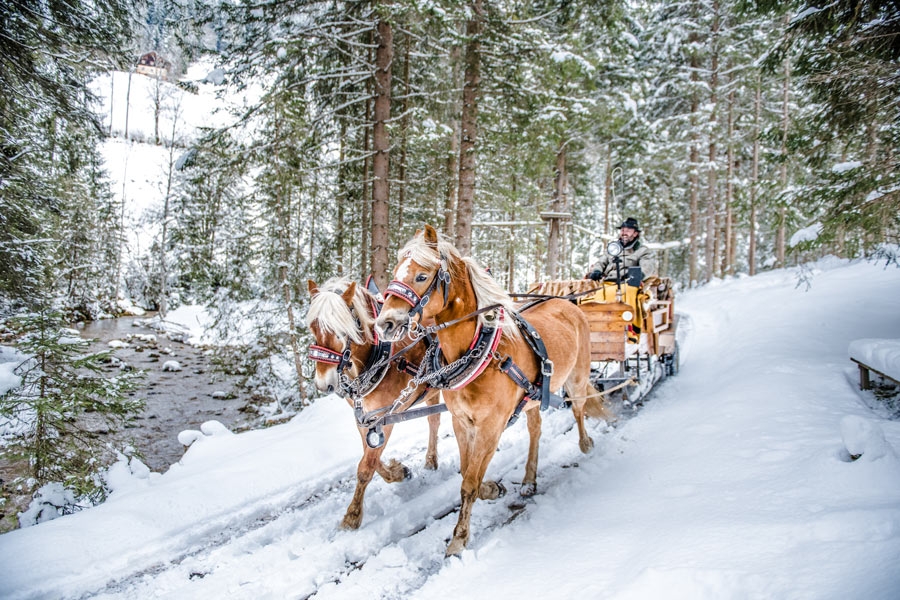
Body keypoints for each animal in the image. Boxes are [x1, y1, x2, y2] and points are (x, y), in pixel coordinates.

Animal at [304, 276, 442, 528]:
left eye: (341, 331)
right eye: (313, 327)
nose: (323, 384)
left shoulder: (386, 416)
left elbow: (365, 466)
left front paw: (352, 516)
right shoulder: (365, 417)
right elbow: (370, 458)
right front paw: (399, 472)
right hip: (432, 390)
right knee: (434, 421)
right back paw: (430, 459)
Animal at [372, 226, 604, 556]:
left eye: (421, 275)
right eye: (395, 271)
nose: (385, 323)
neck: (477, 352)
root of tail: (565, 301)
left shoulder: (491, 427)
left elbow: (469, 482)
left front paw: (458, 539)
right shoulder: (462, 422)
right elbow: (467, 472)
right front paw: (492, 488)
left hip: (578, 375)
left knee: (580, 408)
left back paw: (585, 443)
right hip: (534, 398)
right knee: (535, 429)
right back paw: (529, 479)